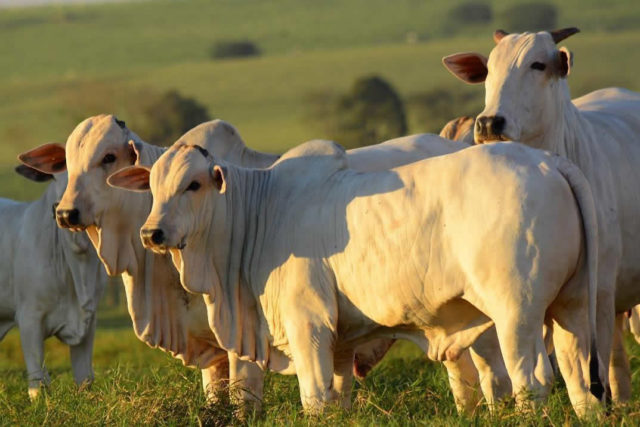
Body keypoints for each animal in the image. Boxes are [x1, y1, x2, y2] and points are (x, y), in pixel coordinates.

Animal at [0, 166, 106, 400]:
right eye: (54, 178)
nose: (62, 212)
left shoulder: (90, 320)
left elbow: (84, 376)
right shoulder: (29, 317)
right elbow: (37, 378)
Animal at [107, 140, 604, 418]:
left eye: (194, 185)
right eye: (152, 187)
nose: (152, 234)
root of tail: (545, 161)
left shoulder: (307, 326)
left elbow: (313, 398)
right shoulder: (341, 344)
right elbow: (337, 398)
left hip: (516, 313)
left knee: (531, 379)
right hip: (573, 306)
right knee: (578, 376)